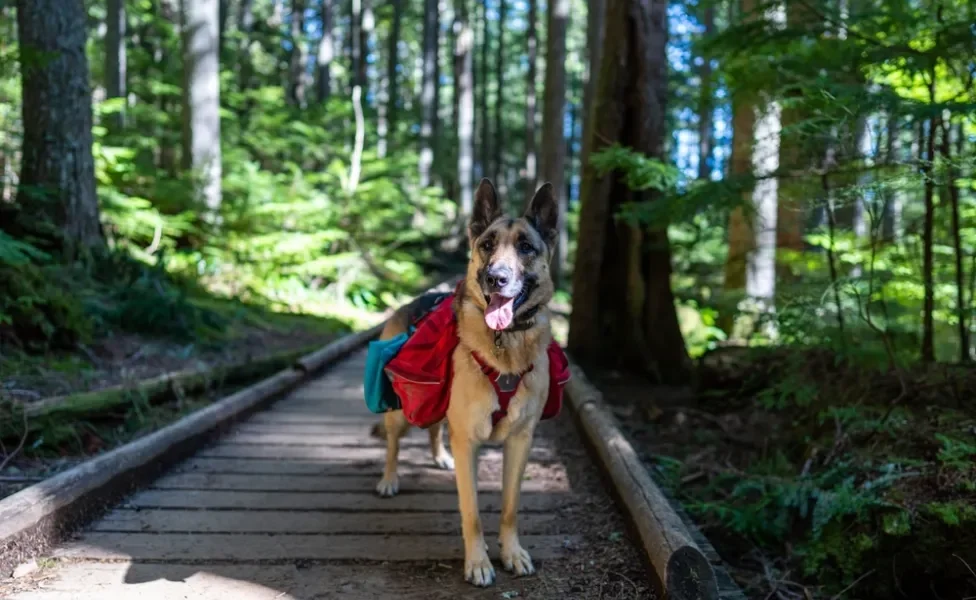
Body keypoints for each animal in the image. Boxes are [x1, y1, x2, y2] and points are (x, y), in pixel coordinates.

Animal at [372, 179, 556, 584]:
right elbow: (471, 513)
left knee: (434, 428)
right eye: (487, 244)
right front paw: (478, 562)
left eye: (526, 246)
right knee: (393, 444)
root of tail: (412, 301)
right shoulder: (468, 441)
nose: (496, 278)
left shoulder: (520, 441)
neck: (504, 343)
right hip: (400, 412)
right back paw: (389, 480)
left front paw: (511, 553)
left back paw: (440, 457)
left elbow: (510, 507)